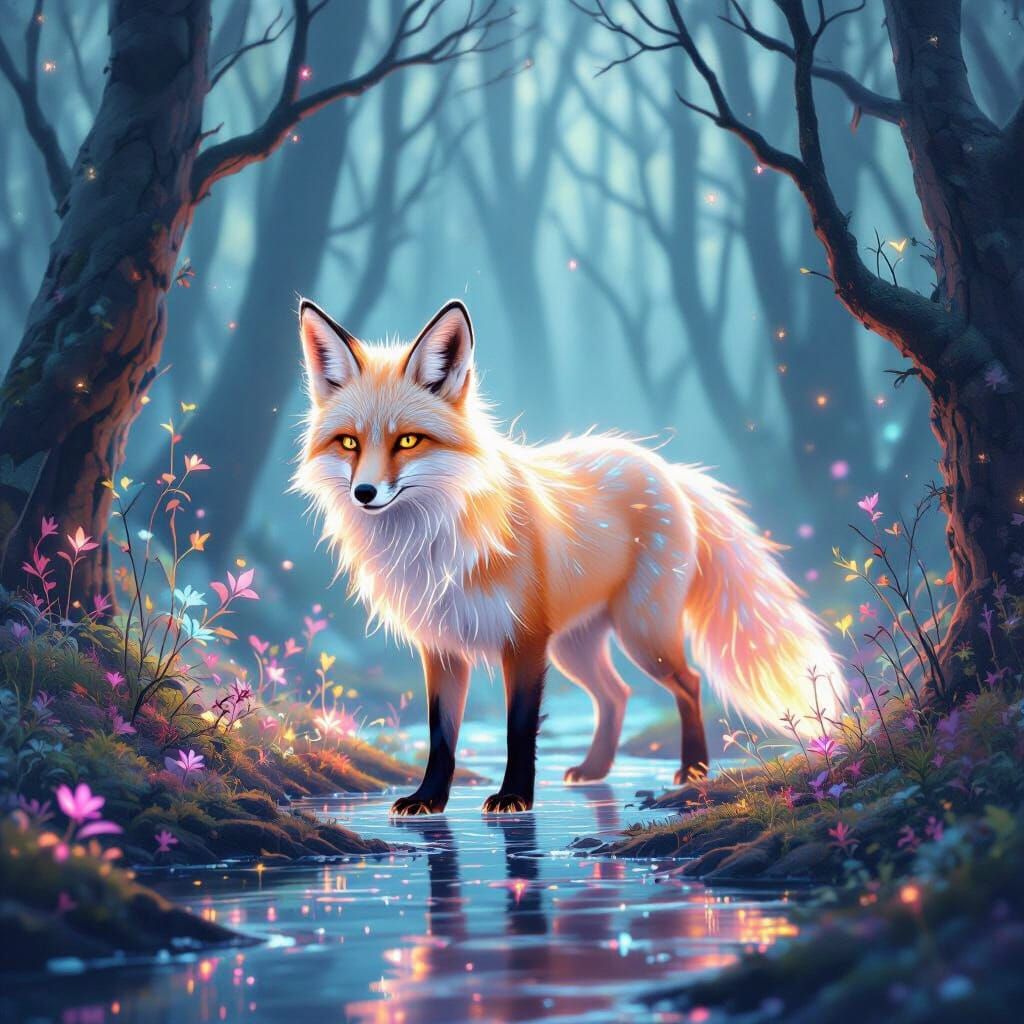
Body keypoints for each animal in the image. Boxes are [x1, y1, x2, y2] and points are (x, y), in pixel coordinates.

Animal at [294, 298, 845, 815]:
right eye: (349, 442)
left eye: (408, 440)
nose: (364, 493)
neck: (434, 545)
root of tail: (665, 467)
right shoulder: (442, 648)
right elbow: (441, 735)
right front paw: (429, 799)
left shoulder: (524, 641)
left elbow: (518, 729)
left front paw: (514, 797)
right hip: (576, 647)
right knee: (616, 695)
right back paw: (597, 768)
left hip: (640, 633)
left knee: (688, 682)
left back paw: (693, 769)